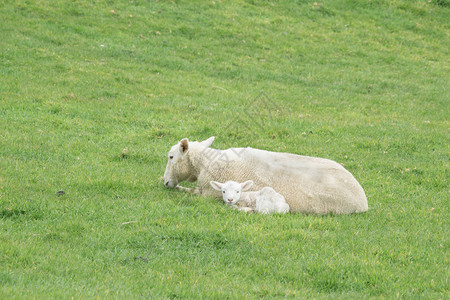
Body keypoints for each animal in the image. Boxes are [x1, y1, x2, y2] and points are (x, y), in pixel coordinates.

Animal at [163, 137, 368, 214]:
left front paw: (178, 188)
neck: (205, 164)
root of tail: (364, 201)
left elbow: (187, 191)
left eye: (171, 156)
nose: (165, 182)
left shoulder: (208, 194)